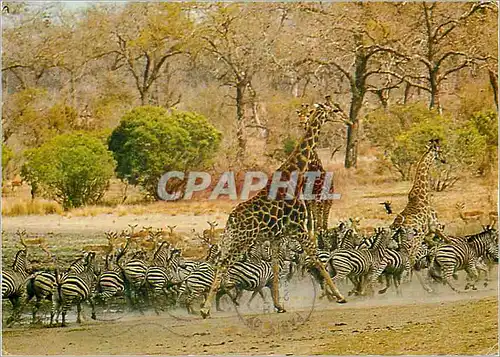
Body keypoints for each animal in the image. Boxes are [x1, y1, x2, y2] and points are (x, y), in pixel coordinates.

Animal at [199, 96, 348, 318]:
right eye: (336, 110)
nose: (349, 120)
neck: (297, 174)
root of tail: (231, 220)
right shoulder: (299, 228)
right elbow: (316, 258)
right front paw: (338, 295)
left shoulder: (278, 236)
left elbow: (277, 267)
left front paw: (279, 305)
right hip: (242, 241)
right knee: (223, 264)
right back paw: (205, 309)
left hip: (231, 240)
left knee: (219, 261)